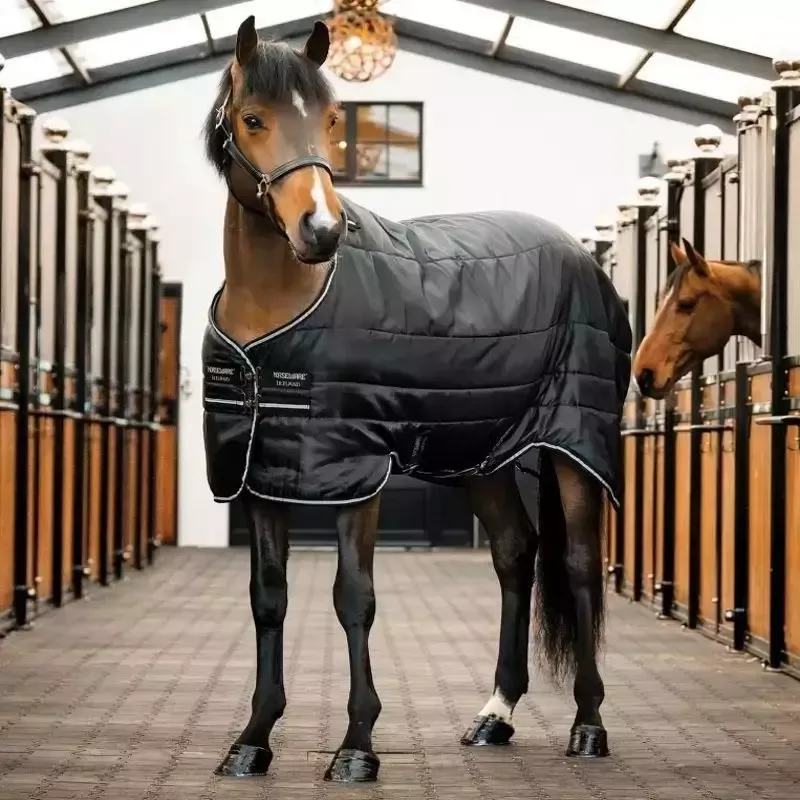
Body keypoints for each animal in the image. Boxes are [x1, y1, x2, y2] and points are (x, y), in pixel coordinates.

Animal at [200, 16, 632, 782]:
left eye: (333, 119)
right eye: (253, 119)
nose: (320, 231)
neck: (276, 309)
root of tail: (580, 254)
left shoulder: (357, 473)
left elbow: (353, 598)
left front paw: (356, 748)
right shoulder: (258, 475)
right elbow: (268, 599)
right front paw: (252, 740)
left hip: (574, 447)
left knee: (580, 565)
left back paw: (588, 725)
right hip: (485, 454)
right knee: (515, 553)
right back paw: (495, 715)